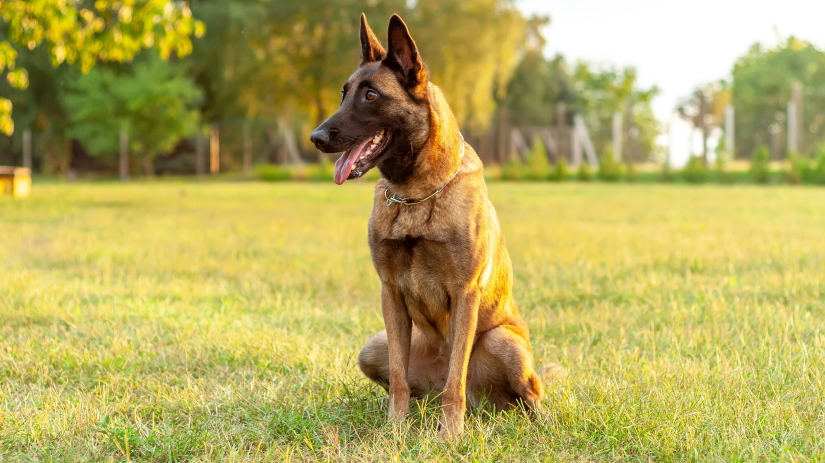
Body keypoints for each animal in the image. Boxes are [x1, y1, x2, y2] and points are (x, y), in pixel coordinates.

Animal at [308, 11, 548, 438]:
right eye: (343, 93)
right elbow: (399, 379)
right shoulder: (390, 293)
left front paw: (450, 435)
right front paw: (395, 429)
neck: (416, 195)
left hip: (503, 341)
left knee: (523, 392)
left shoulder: (465, 294)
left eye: (371, 95)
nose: (316, 138)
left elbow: (456, 376)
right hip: (374, 346)